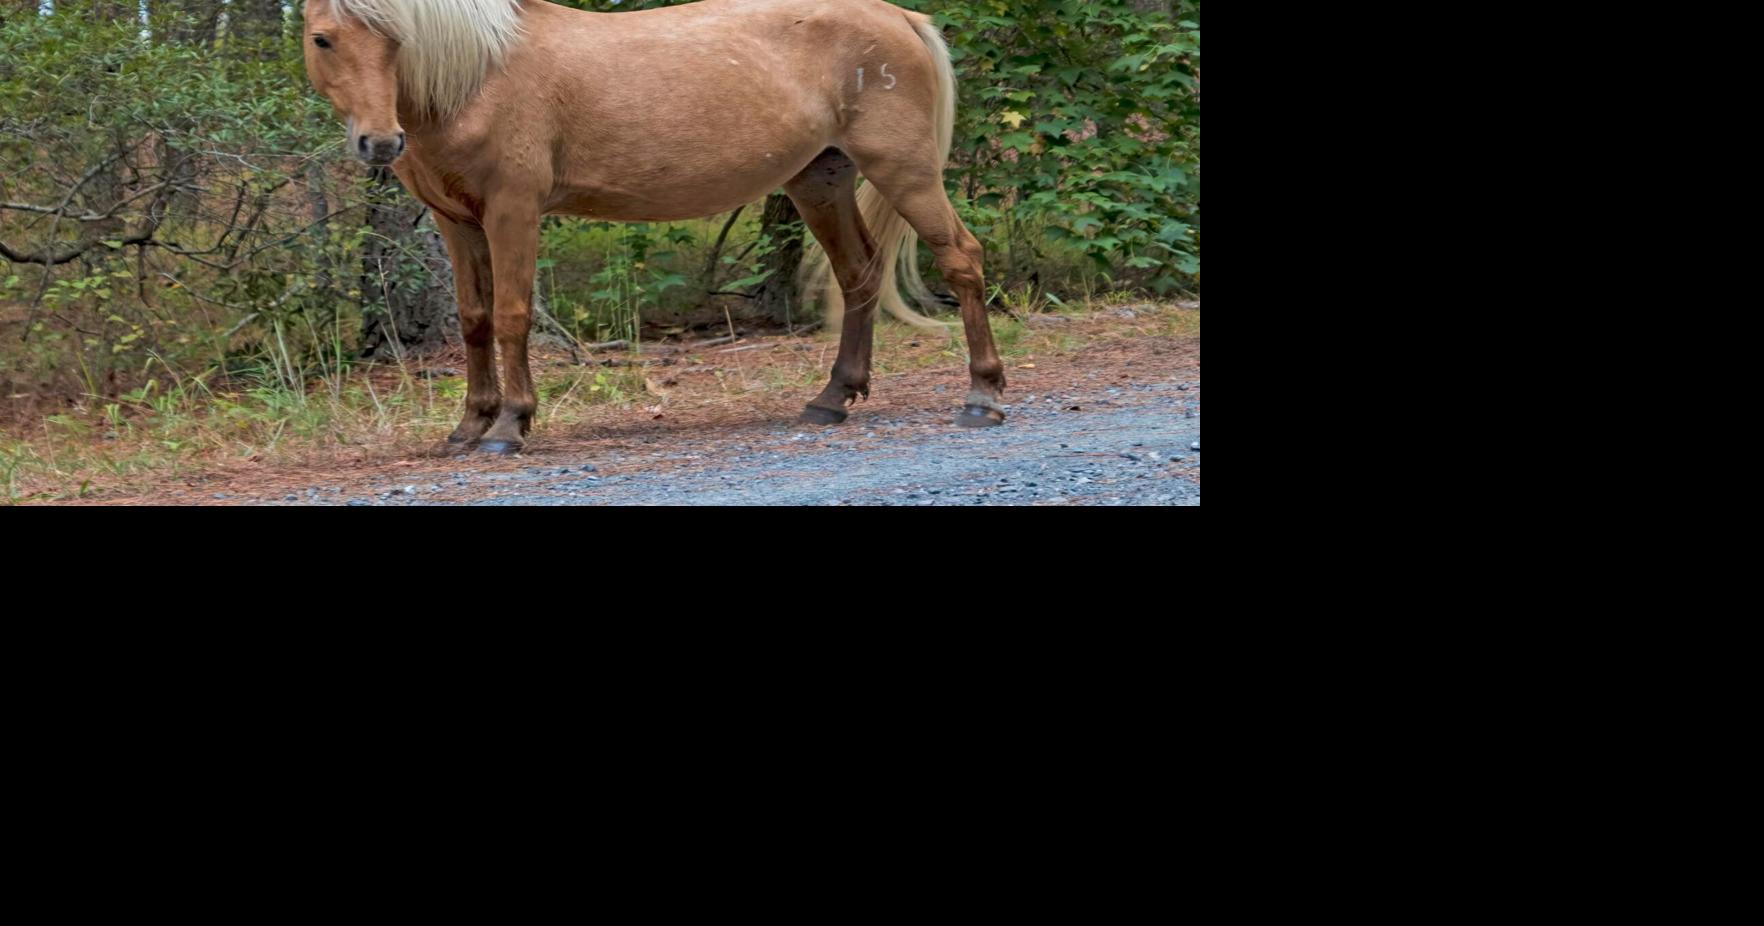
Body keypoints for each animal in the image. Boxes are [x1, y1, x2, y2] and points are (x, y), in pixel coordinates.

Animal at [302, 0, 1006, 454]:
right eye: (322, 39)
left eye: (395, 36)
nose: (379, 142)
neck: (479, 76)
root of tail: (897, 16)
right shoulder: (457, 223)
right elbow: (474, 320)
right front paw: (469, 426)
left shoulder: (513, 211)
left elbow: (510, 316)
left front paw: (509, 427)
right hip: (819, 179)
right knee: (858, 274)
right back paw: (832, 397)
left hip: (903, 169)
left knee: (961, 259)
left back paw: (982, 396)